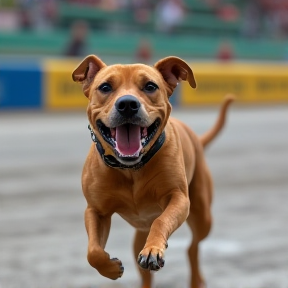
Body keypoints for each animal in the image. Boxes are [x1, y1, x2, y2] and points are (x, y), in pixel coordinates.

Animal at [72, 55, 234, 288]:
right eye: (105, 87)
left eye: (150, 86)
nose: (127, 104)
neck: (131, 169)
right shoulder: (96, 211)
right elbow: (93, 252)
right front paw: (110, 268)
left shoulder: (179, 199)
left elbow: (161, 221)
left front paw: (153, 250)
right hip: (140, 234)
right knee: (147, 271)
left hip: (203, 216)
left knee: (192, 247)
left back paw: (196, 278)